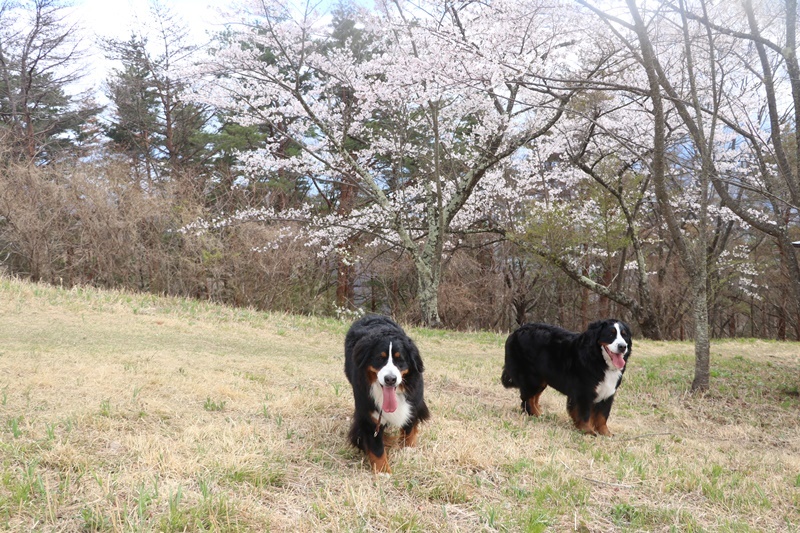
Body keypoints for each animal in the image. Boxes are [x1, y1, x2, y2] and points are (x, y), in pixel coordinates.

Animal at [346, 314, 432, 472]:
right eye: (380, 358)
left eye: (400, 360)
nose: (390, 379)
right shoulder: (369, 414)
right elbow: (376, 448)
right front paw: (383, 471)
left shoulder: (413, 403)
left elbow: (409, 429)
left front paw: (407, 450)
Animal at [500, 318, 632, 434]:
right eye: (610, 334)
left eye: (624, 335)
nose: (622, 346)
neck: (598, 359)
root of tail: (516, 332)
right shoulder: (583, 391)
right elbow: (584, 413)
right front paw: (587, 431)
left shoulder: (608, 392)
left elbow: (602, 416)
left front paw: (605, 433)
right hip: (532, 379)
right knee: (528, 399)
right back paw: (534, 415)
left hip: (540, 380)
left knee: (533, 398)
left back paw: (539, 414)